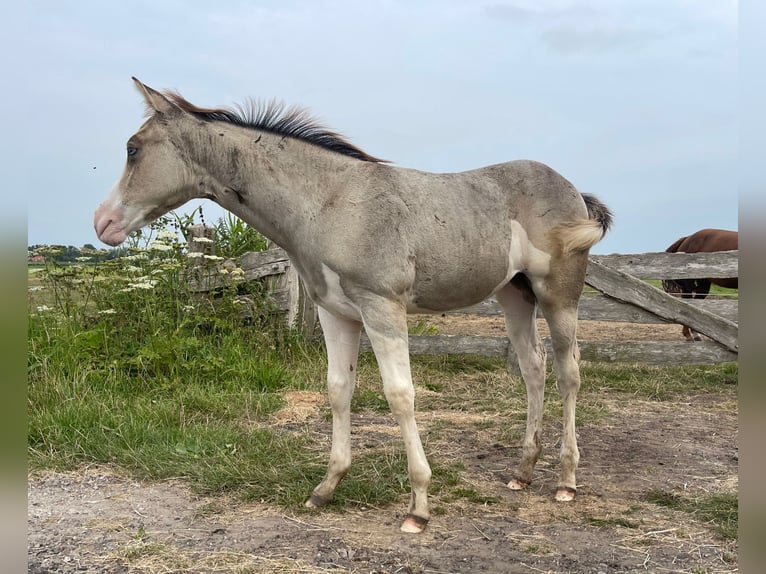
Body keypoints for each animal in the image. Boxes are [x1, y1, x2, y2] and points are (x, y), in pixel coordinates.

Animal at [96, 77, 616, 536]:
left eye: (132, 148)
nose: (103, 222)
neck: (330, 203)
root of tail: (573, 190)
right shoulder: (336, 312)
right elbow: (338, 390)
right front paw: (326, 488)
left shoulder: (381, 307)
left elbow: (400, 395)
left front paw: (418, 508)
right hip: (514, 295)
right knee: (533, 368)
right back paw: (522, 472)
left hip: (559, 295)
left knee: (569, 372)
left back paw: (566, 481)